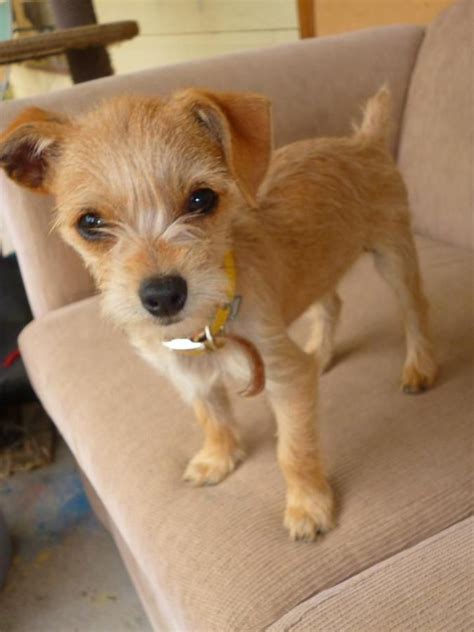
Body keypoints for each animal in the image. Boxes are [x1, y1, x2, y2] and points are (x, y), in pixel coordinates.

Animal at [0, 86, 438, 540]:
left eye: (201, 199)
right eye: (89, 222)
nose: (163, 295)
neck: (205, 327)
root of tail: (363, 141)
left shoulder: (286, 377)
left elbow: (293, 450)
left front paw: (308, 505)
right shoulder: (188, 375)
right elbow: (211, 417)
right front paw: (219, 458)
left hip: (393, 256)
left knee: (415, 310)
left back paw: (419, 367)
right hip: (320, 266)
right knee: (332, 304)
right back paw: (322, 353)